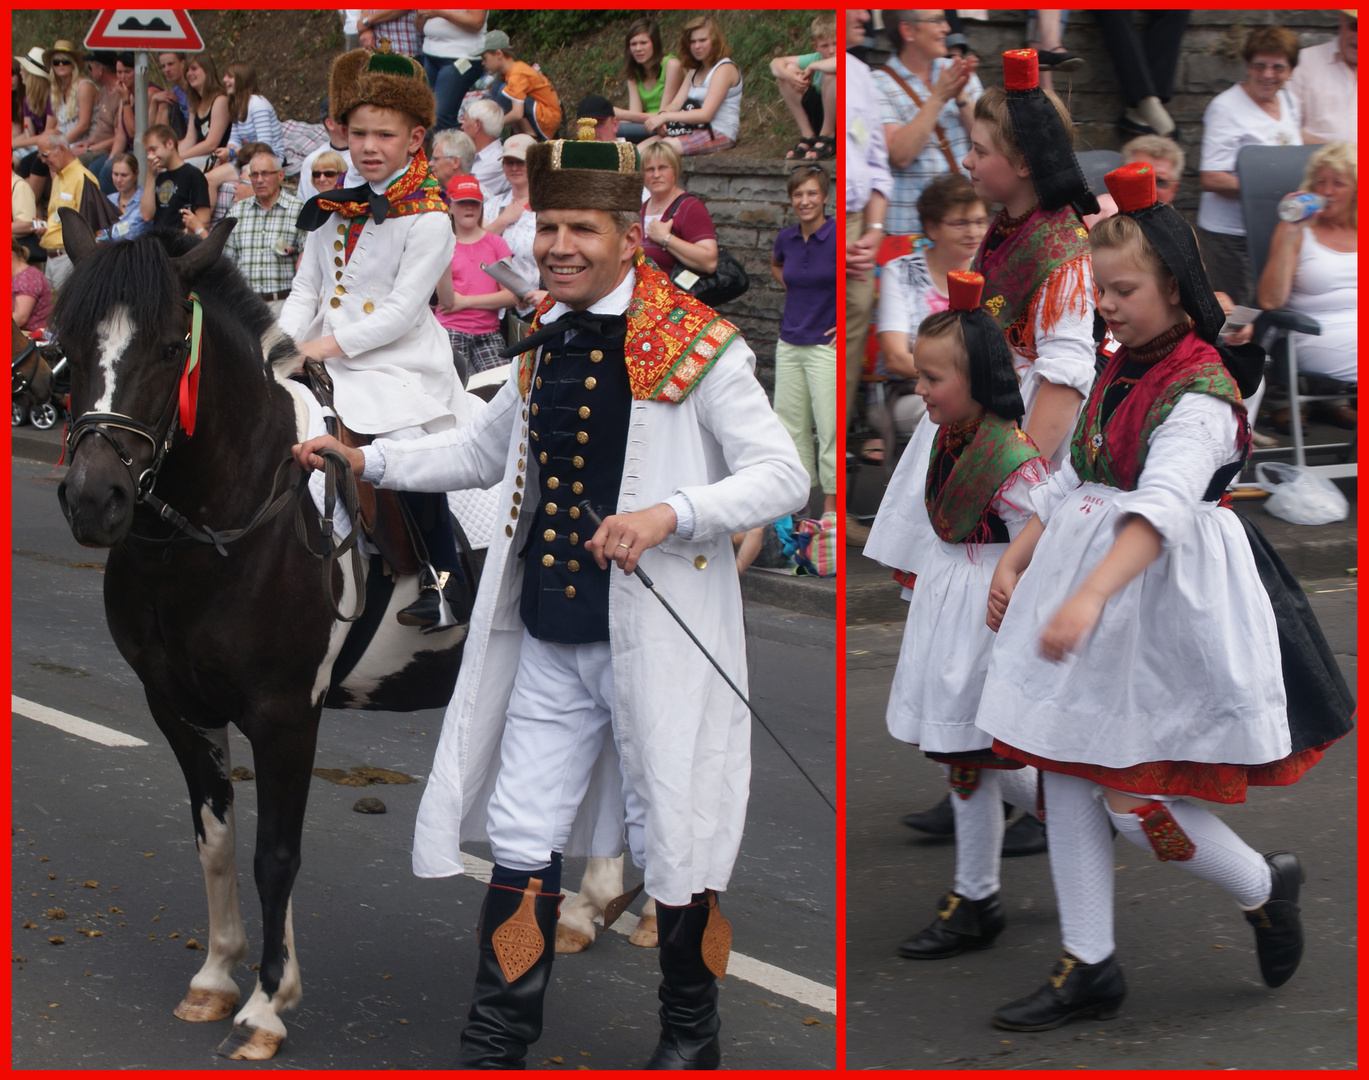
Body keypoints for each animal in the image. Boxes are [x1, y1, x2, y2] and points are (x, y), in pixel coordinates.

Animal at [52, 208, 481, 1051]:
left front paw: (266, 1005)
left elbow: (274, 855)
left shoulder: (286, 714)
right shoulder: (177, 705)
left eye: (168, 347)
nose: (93, 500)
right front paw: (218, 977)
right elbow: (215, 840)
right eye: (69, 343)